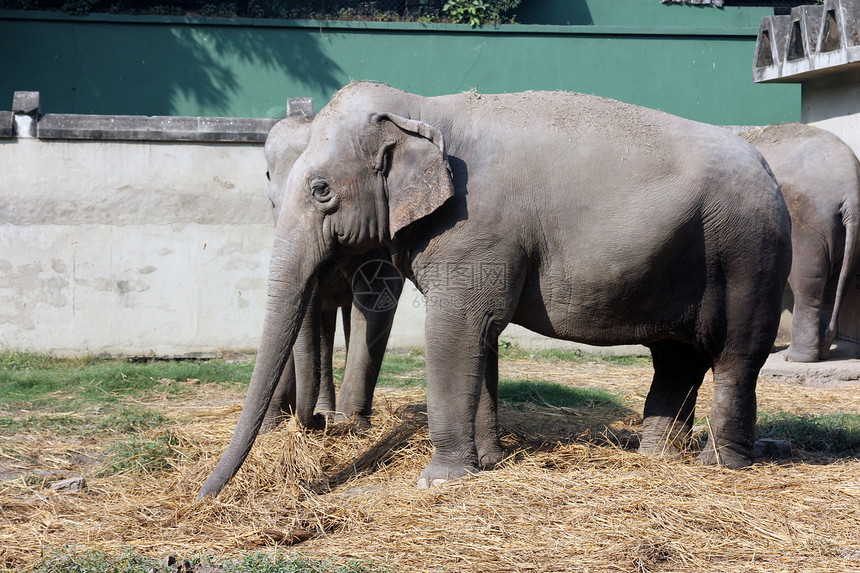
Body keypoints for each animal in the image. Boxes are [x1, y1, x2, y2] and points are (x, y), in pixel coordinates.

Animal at [258, 114, 404, 432]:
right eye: (273, 204)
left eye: (322, 194)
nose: (315, 420)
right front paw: (271, 429)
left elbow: (378, 290)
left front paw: (353, 426)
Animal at [740, 124, 860, 362]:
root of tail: (851, 190)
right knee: (835, 284)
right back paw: (822, 352)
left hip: (807, 222)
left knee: (807, 285)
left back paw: (796, 357)